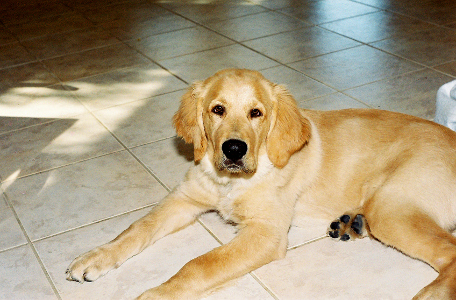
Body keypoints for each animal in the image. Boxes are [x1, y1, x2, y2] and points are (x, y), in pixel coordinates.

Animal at [66, 68, 456, 300]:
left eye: (257, 113)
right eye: (217, 109)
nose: (234, 149)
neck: (230, 183)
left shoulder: (265, 232)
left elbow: (201, 264)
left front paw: (156, 295)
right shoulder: (184, 199)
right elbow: (137, 228)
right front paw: (95, 257)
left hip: (390, 206)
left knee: (449, 251)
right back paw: (350, 223)